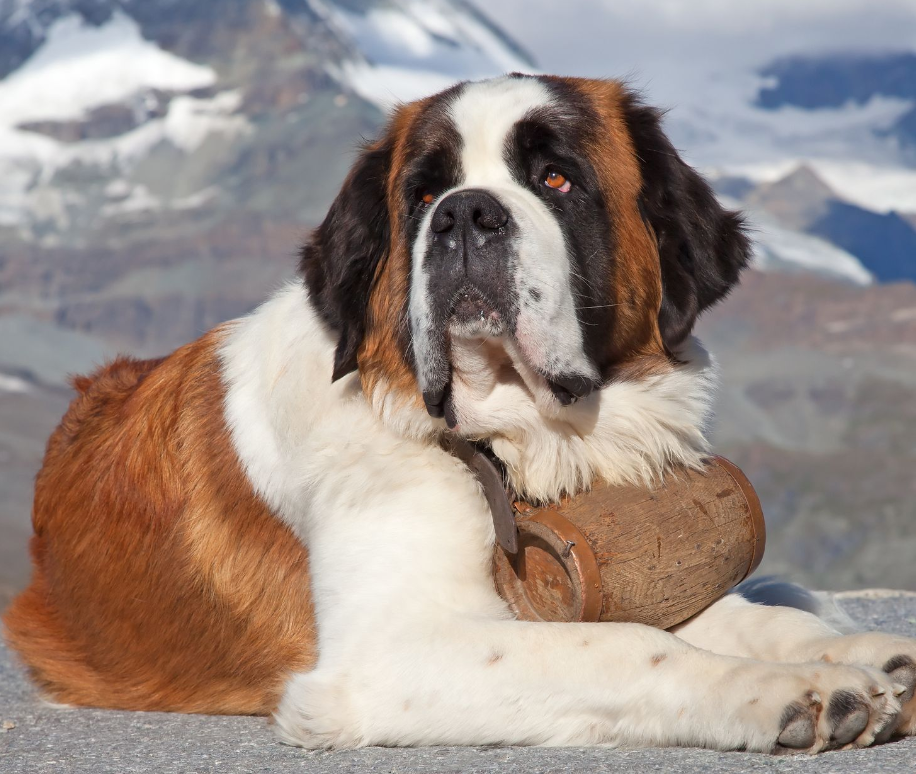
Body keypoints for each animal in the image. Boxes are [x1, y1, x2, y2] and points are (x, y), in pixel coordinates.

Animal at [5, 76, 916, 756]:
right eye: (422, 193)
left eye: (557, 179)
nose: (465, 213)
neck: (497, 444)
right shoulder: (392, 652)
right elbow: (633, 642)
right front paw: (792, 691)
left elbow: (734, 615)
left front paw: (851, 654)